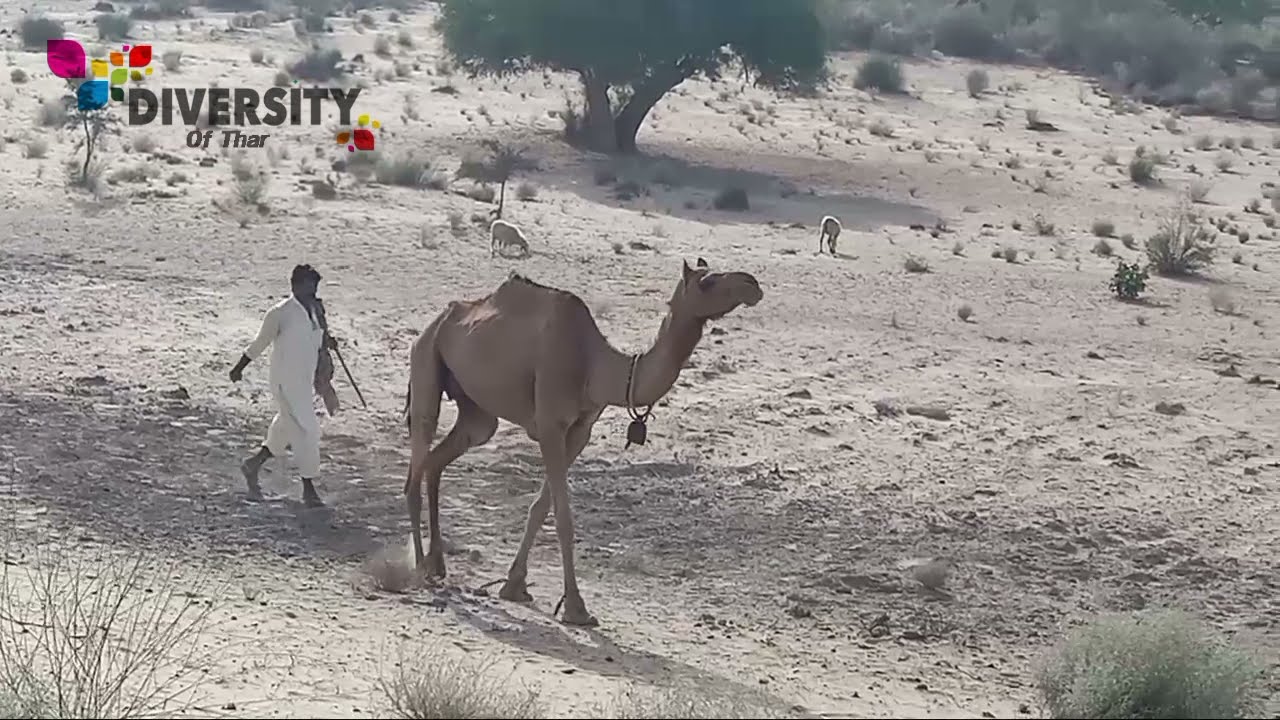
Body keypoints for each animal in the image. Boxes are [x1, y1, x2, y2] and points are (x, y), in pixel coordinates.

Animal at [403, 258, 763, 626]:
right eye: (707, 282)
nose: (752, 284)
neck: (594, 364)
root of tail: (433, 324)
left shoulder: (580, 431)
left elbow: (541, 506)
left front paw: (515, 586)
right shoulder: (551, 424)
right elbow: (563, 516)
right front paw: (576, 607)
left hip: (476, 413)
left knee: (440, 458)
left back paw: (437, 563)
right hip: (426, 362)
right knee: (417, 461)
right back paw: (420, 568)